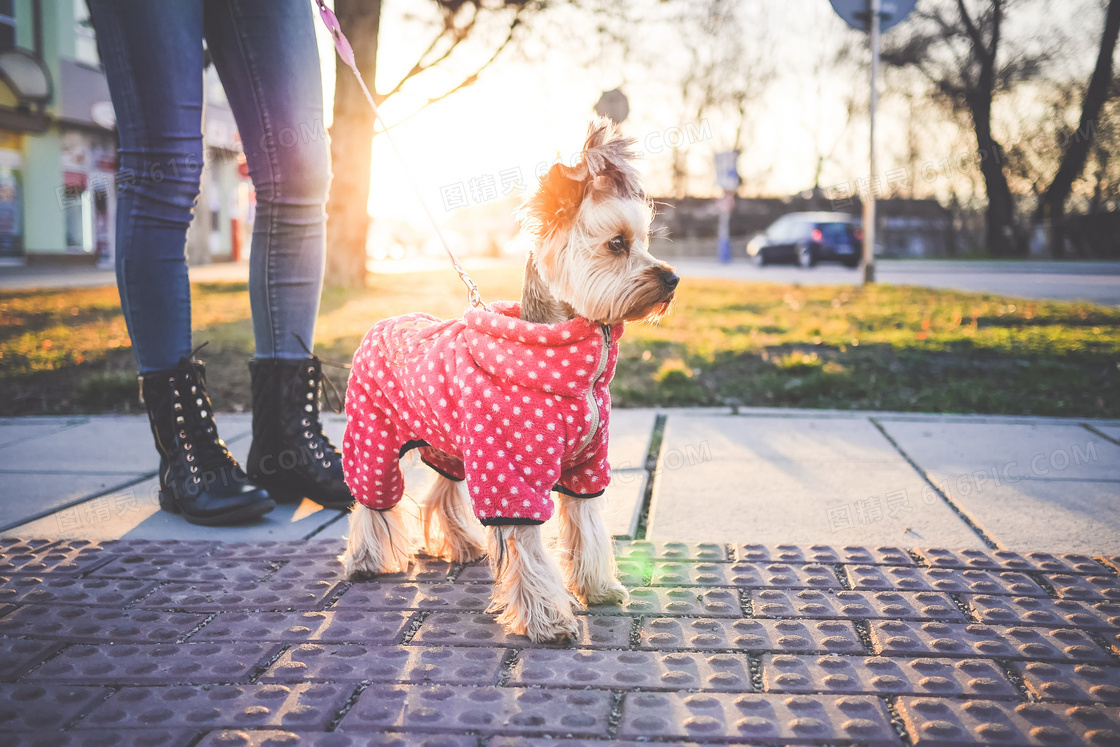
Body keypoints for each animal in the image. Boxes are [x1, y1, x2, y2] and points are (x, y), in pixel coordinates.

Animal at [336, 118, 676, 645]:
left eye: (643, 242)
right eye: (617, 244)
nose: (673, 279)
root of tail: (382, 321)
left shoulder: (583, 465)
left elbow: (586, 524)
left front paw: (598, 588)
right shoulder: (511, 470)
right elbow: (528, 545)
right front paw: (549, 620)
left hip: (449, 443)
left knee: (442, 490)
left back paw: (459, 544)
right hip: (373, 434)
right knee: (372, 499)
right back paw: (367, 560)